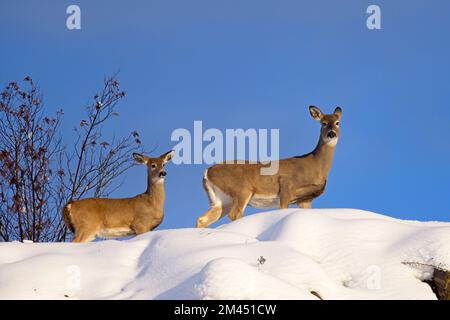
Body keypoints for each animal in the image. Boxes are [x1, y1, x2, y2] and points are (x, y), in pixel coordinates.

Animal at [196, 106, 342, 229]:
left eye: (337, 122)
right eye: (323, 123)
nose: (332, 134)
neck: (314, 166)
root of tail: (207, 171)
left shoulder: (306, 199)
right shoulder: (286, 186)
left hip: (222, 199)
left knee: (202, 219)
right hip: (241, 190)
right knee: (234, 214)